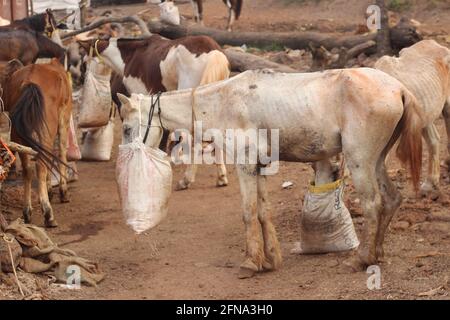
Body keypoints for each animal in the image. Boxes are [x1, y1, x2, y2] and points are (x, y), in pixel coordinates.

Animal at [0, 58, 72, 228]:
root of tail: (29, 81)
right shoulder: (64, 119)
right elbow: (61, 152)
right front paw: (63, 192)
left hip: (18, 134)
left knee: (27, 169)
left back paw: (27, 212)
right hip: (46, 131)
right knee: (40, 165)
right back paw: (48, 214)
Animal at [118, 68, 424, 278]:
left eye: (126, 128)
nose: (126, 159)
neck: (223, 102)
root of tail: (399, 89)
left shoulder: (244, 164)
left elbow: (248, 212)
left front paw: (250, 262)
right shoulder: (260, 166)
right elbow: (264, 211)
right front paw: (271, 259)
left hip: (360, 159)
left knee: (373, 204)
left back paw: (360, 259)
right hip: (376, 160)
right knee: (391, 199)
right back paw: (377, 254)